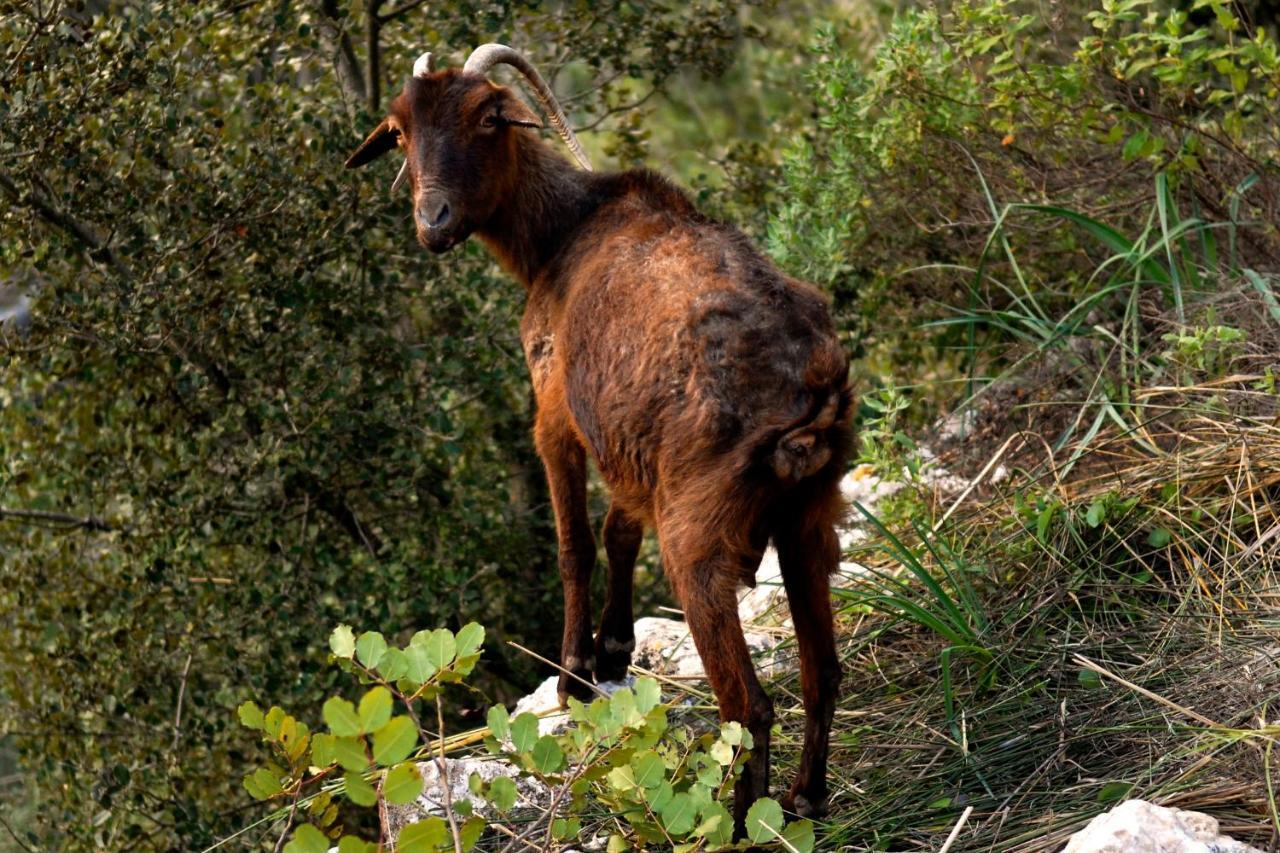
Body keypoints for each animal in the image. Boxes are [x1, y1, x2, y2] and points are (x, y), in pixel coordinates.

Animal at [345, 44, 855, 824]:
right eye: (400, 131)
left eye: (488, 117)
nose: (434, 221)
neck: (562, 232)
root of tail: (811, 401)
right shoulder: (629, 443)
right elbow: (618, 528)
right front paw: (615, 645)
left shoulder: (553, 409)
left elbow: (575, 544)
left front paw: (575, 673)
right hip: (810, 517)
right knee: (822, 669)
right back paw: (806, 794)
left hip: (699, 538)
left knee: (749, 704)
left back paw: (744, 817)